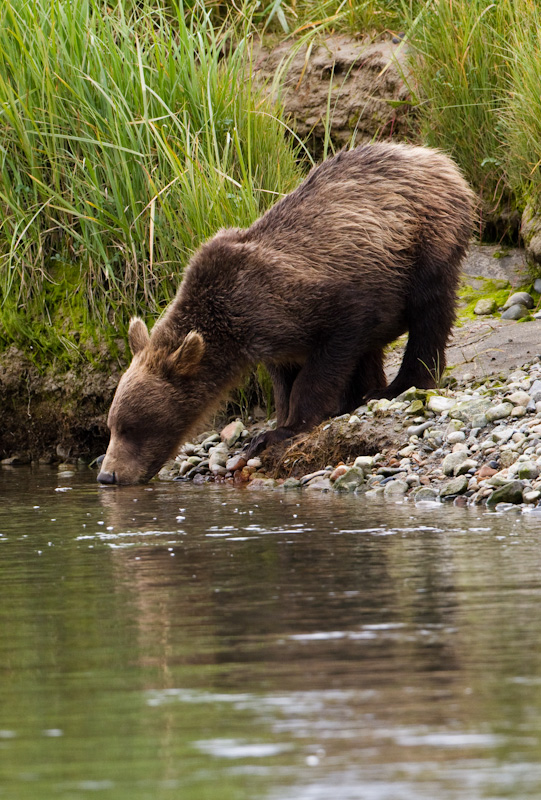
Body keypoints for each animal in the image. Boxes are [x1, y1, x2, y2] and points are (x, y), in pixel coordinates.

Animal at [97, 141, 472, 484]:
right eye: (112, 425)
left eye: (133, 427)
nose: (107, 475)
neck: (231, 324)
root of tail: (435, 157)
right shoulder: (272, 336)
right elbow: (285, 378)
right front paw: (281, 420)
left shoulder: (314, 301)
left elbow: (328, 356)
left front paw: (281, 430)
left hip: (424, 240)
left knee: (429, 312)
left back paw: (399, 384)